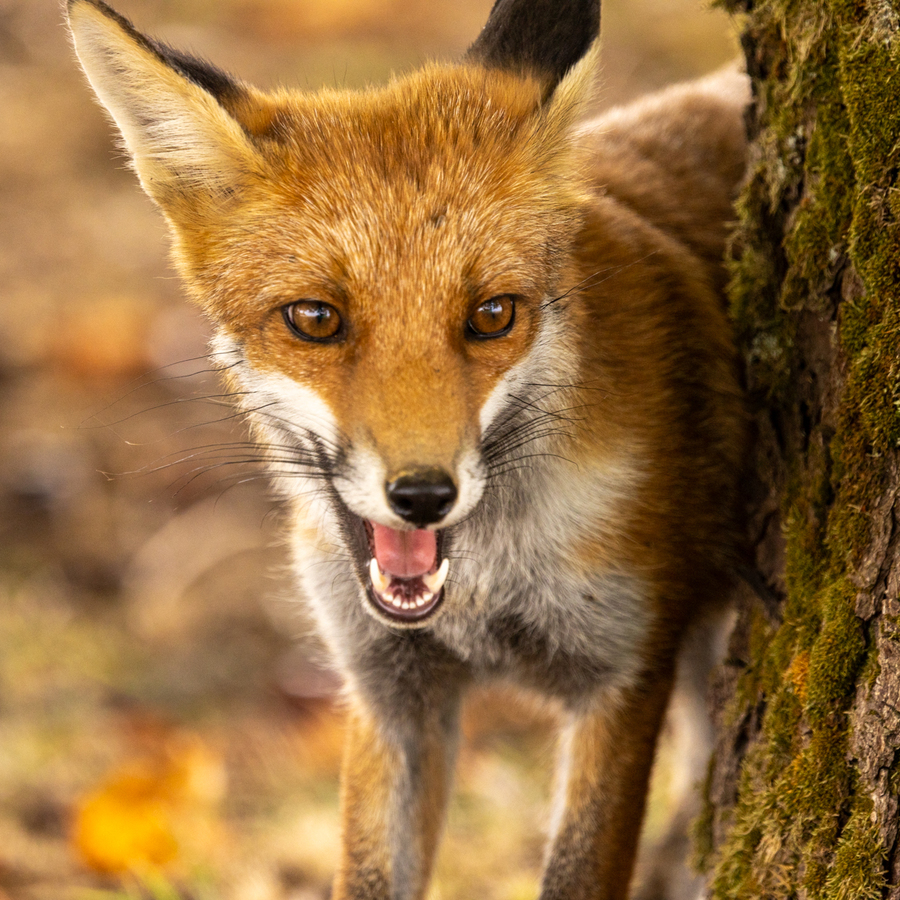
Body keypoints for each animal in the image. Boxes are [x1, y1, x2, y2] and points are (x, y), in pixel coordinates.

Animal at [67, 0, 749, 897]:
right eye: (315, 319)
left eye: (493, 315)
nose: (423, 495)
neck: (485, 593)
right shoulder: (389, 692)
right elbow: (365, 872)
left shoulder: (624, 672)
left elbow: (577, 871)